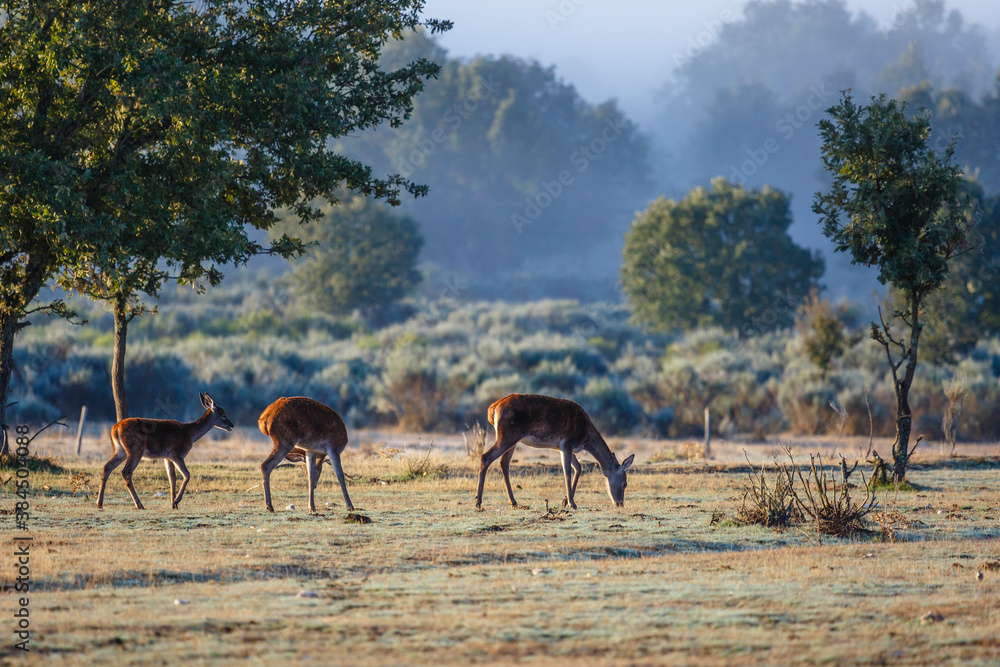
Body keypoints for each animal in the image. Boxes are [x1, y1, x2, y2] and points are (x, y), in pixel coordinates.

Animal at [96, 393, 234, 510]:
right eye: (223, 415)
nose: (231, 425)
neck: (189, 433)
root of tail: (115, 428)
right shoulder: (176, 453)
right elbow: (187, 474)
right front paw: (176, 501)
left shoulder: (167, 457)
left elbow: (172, 478)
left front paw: (173, 504)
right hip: (135, 450)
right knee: (126, 472)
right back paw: (139, 504)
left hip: (120, 451)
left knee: (107, 467)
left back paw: (99, 503)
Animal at [475, 393, 635, 510]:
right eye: (625, 483)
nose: (620, 503)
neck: (586, 435)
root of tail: (492, 409)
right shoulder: (567, 444)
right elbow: (567, 472)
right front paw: (572, 504)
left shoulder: (563, 448)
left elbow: (578, 468)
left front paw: (565, 501)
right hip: (507, 436)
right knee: (485, 457)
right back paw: (478, 502)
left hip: (512, 440)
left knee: (504, 463)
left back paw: (513, 502)